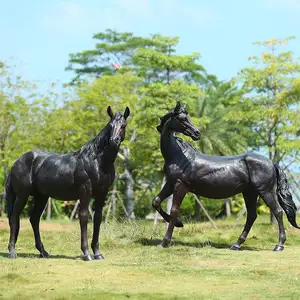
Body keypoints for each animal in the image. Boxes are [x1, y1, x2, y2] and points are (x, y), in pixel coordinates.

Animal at [6, 105, 130, 260]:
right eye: (110, 126)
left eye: (123, 125)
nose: (114, 141)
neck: (97, 162)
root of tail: (16, 163)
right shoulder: (85, 191)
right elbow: (84, 217)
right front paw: (87, 253)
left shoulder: (102, 193)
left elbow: (98, 218)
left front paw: (97, 253)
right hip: (22, 195)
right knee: (14, 217)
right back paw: (12, 252)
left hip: (41, 197)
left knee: (34, 219)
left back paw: (43, 252)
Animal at [154, 102, 298, 252]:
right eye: (182, 118)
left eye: (185, 117)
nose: (197, 133)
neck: (179, 155)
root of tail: (271, 162)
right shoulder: (170, 184)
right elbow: (156, 201)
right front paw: (179, 223)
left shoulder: (180, 186)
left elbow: (174, 210)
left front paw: (164, 242)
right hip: (250, 193)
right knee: (252, 216)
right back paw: (237, 244)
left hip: (266, 191)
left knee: (278, 211)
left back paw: (279, 245)